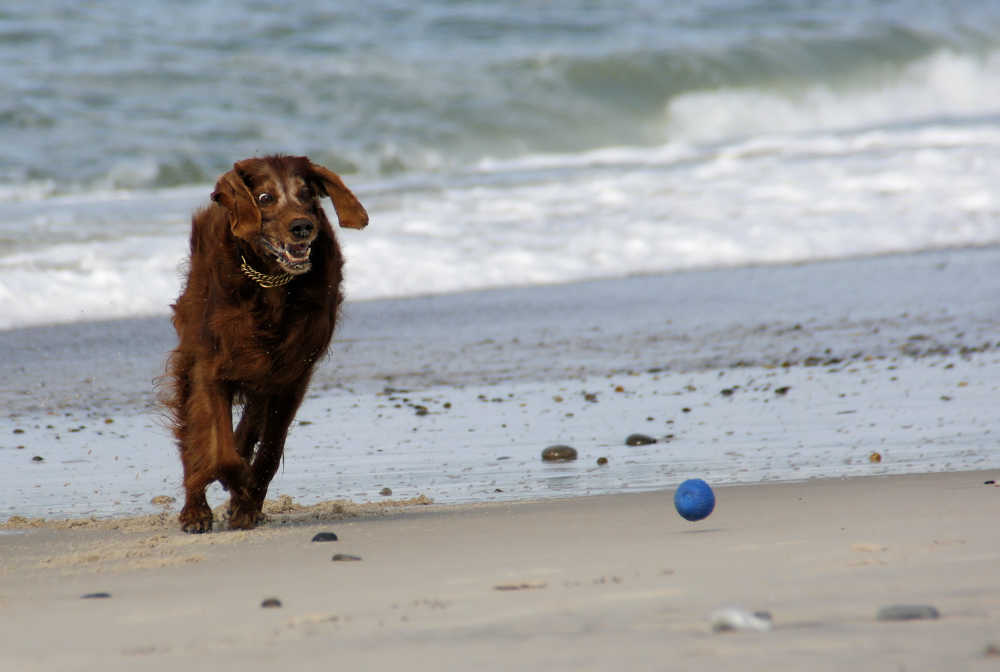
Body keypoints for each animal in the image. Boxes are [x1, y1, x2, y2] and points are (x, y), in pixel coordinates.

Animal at [162, 155, 370, 532]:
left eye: (306, 194)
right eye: (264, 198)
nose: (302, 227)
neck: (272, 284)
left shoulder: (292, 374)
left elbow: (269, 450)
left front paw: (248, 502)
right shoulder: (214, 368)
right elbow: (222, 454)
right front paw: (236, 486)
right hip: (193, 353)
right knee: (192, 434)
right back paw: (195, 509)